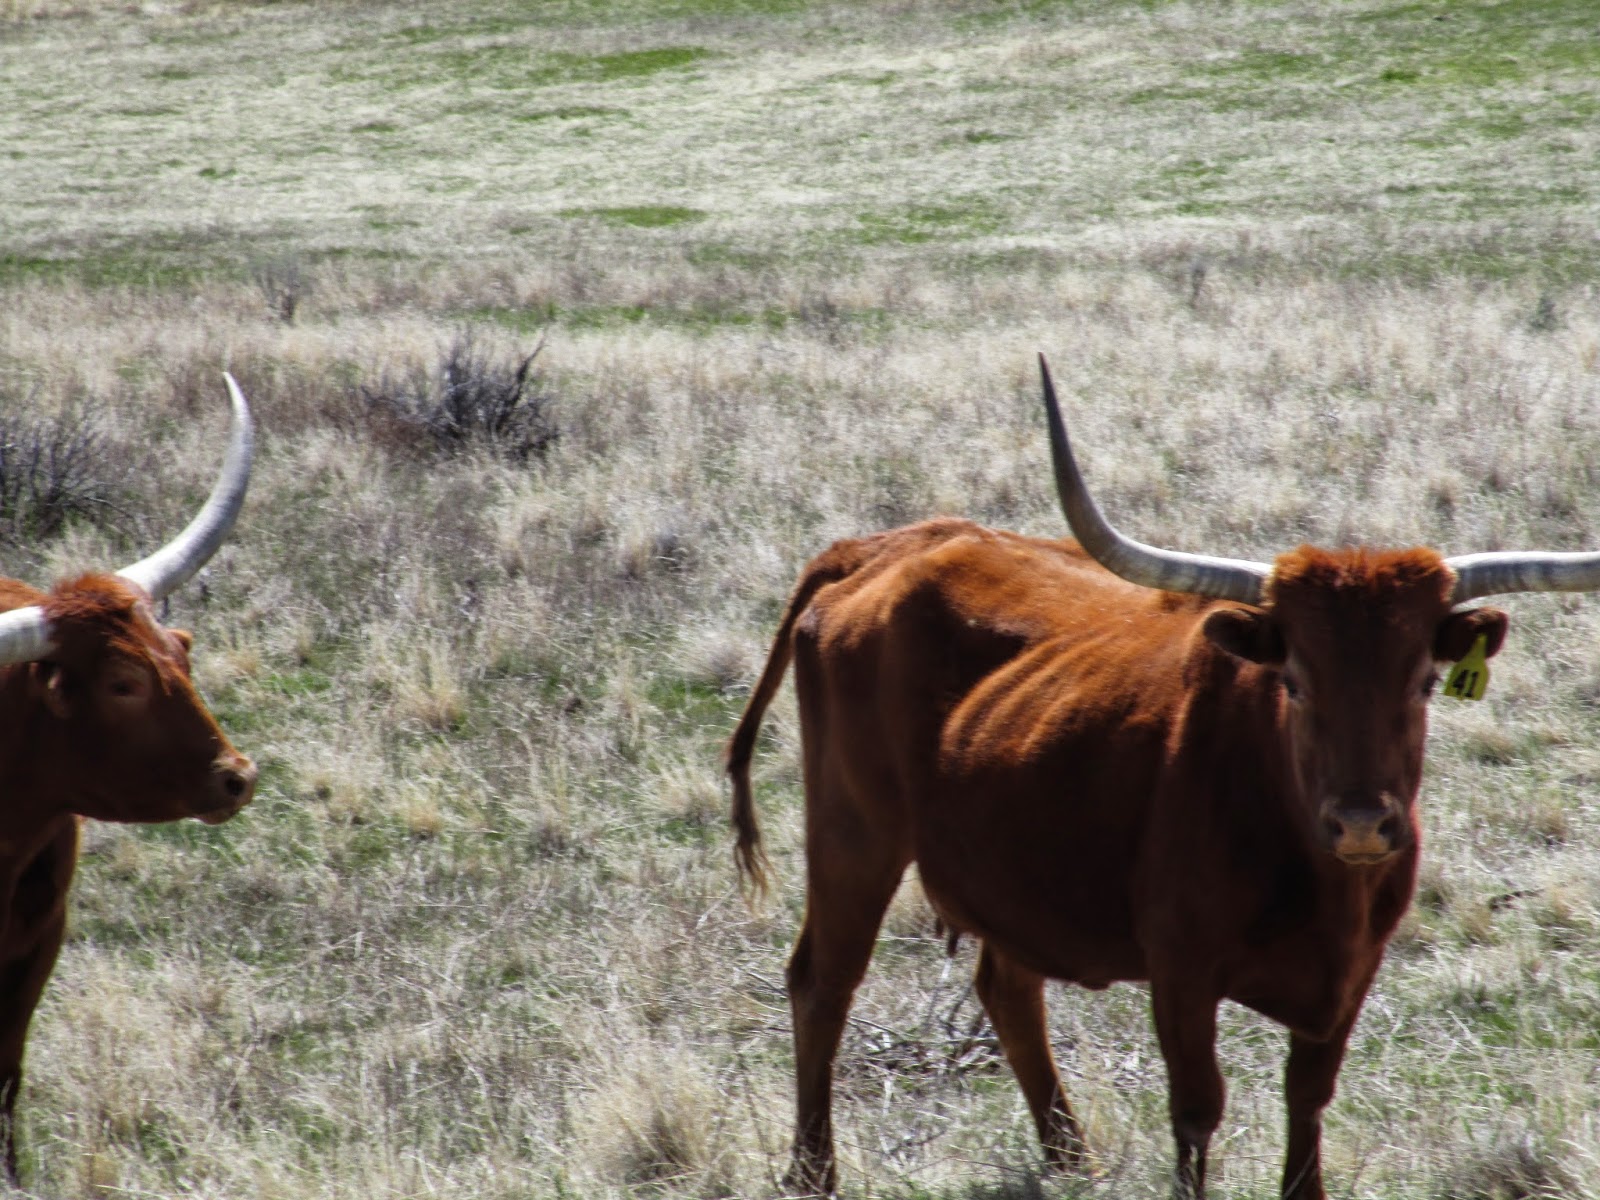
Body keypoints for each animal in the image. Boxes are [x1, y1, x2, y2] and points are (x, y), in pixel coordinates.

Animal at [726, 356, 1600, 1199]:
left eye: (1423, 681)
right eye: (1295, 681)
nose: (1360, 823)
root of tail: (888, 545)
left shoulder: (1354, 972)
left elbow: (1307, 1099)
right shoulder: (1181, 968)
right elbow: (1197, 1108)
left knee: (1007, 988)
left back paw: (1070, 1159)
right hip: (852, 836)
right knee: (823, 982)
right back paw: (813, 1170)